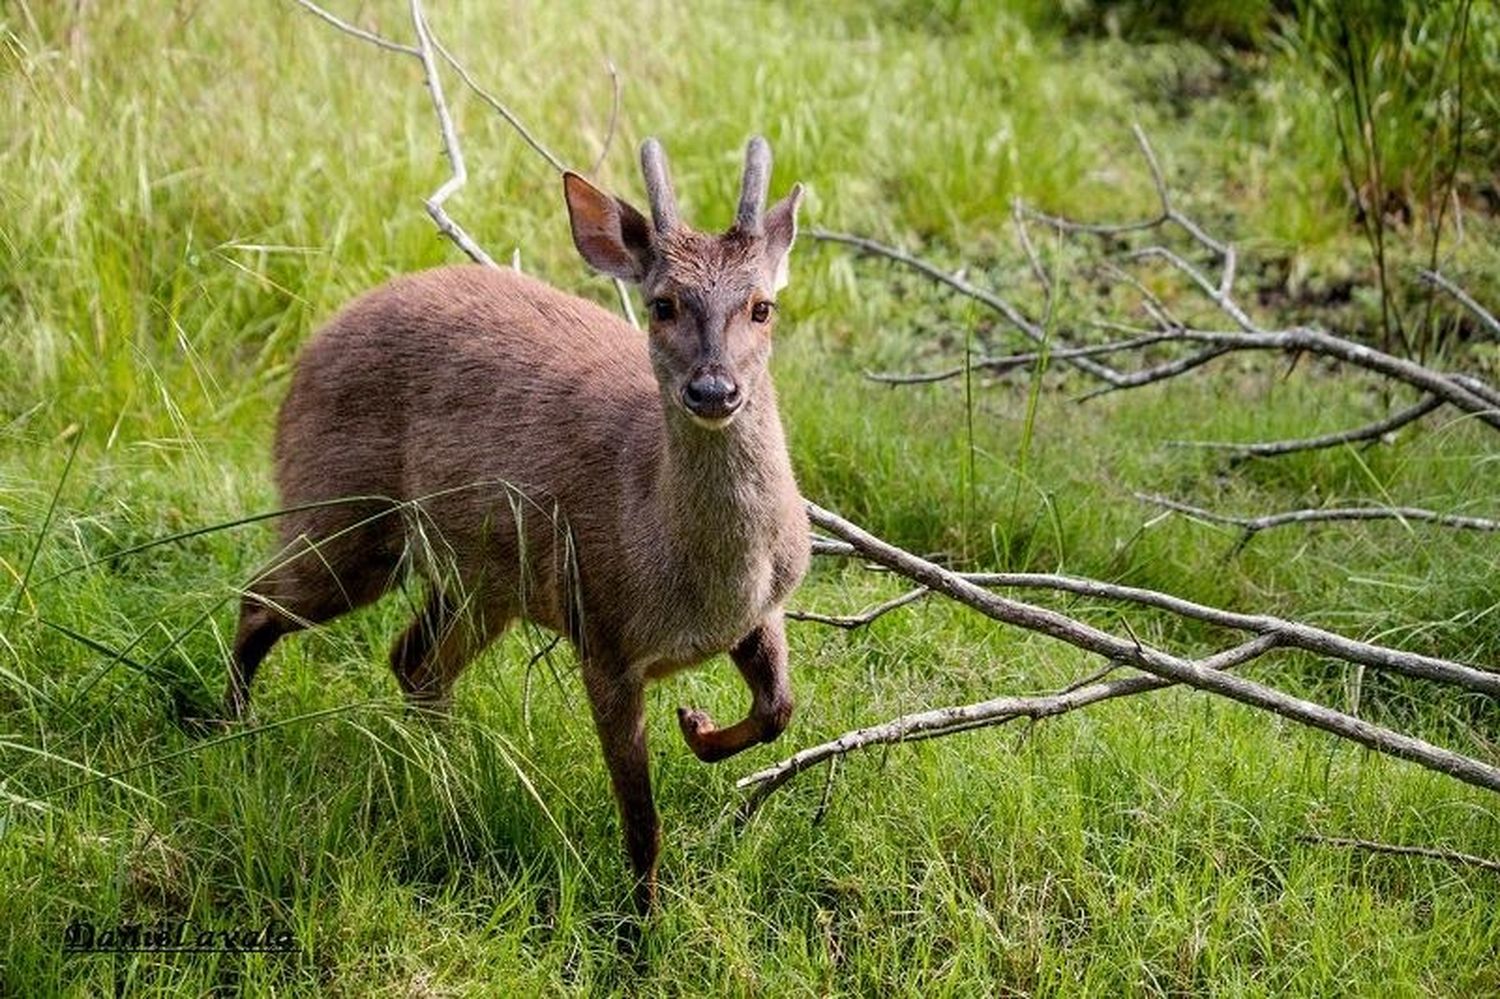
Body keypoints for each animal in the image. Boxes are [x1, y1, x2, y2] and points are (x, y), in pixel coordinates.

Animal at [223, 136, 810, 912]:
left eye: (762, 307)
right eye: (662, 304)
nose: (714, 389)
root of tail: (307, 353)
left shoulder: (761, 610)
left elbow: (779, 708)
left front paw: (698, 728)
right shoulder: (602, 631)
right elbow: (642, 819)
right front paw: (643, 922)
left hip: (480, 577)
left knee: (411, 659)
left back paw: (444, 785)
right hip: (342, 510)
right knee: (260, 598)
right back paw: (233, 730)